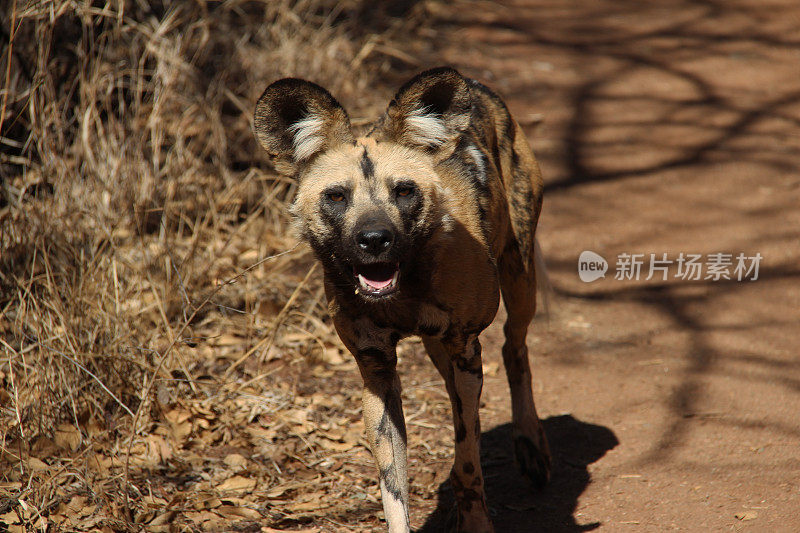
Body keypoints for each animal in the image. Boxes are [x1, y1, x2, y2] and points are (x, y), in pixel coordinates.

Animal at [255, 68, 552, 528]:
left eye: (404, 191)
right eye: (336, 196)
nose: (375, 239)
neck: (404, 289)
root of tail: (474, 85)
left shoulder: (466, 349)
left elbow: (470, 461)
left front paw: (475, 520)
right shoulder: (377, 371)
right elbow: (393, 489)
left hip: (518, 283)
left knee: (513, 347)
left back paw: (531, 442)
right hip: (439, 346)